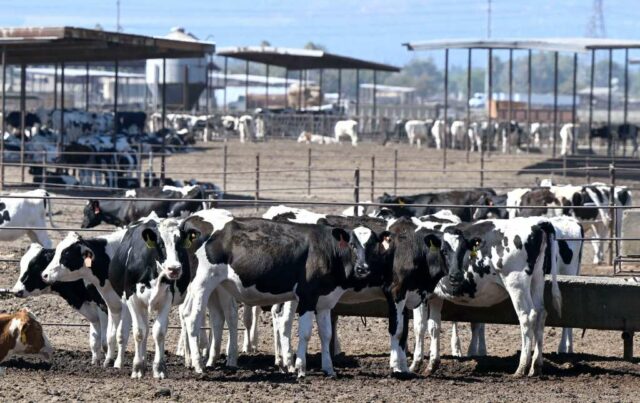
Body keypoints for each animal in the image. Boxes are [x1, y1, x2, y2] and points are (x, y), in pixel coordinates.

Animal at [40, 227, 132, 370]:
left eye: (66, 254)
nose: (44, 275)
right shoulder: (111, 303)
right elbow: (110, 335)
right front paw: (108, 361)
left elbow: (121, 335)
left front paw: (118, 364)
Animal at [176, 211, 384, 378]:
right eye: (352, 244)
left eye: (372, 245)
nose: (363, 268)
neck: (326, 249)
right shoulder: (307, 297)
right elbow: (305, 333)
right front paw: (300, 369)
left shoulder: (325, 302)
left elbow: (326, 334)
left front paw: (329, 369)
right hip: (203, 283)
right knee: (193, 318)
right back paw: (199, 366)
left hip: (208, 287)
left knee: (192, 315)